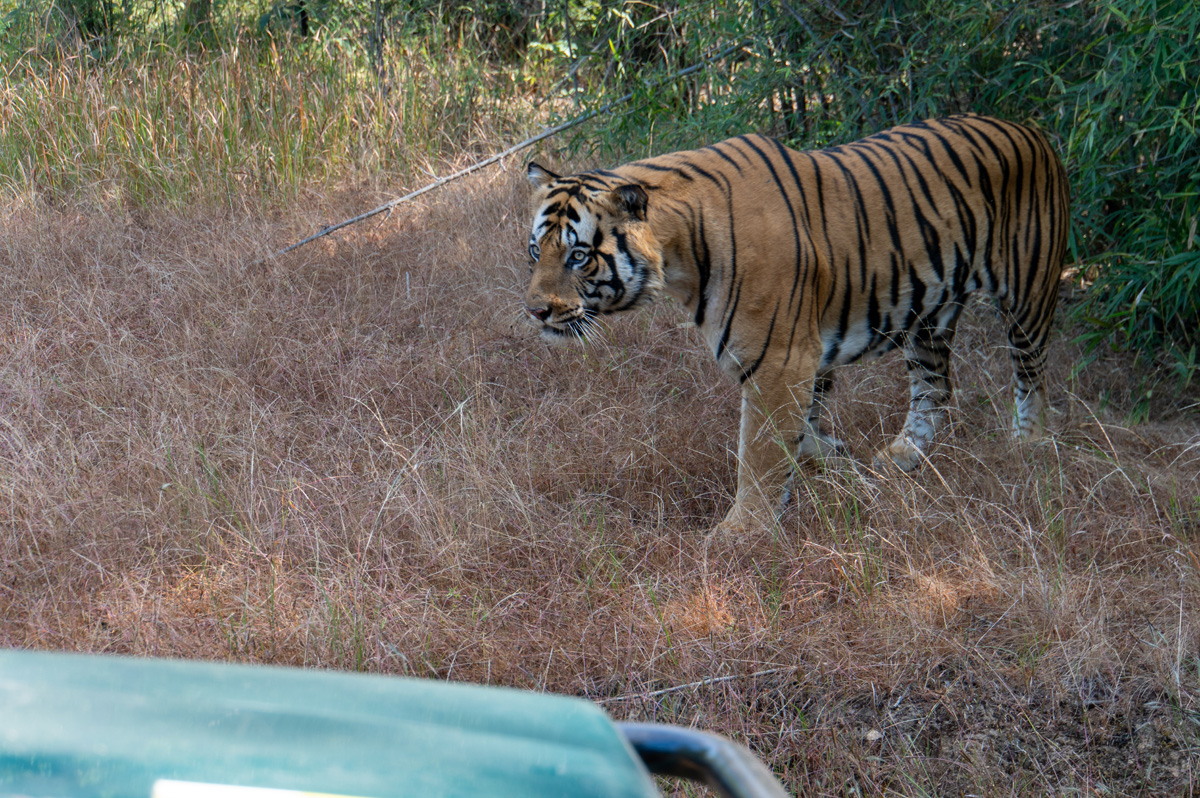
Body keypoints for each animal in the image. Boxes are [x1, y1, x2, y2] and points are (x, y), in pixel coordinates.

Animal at [522, 114, 1070, 534]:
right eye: (535, 251)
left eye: (577, 256)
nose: (535, 311)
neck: (679, 256)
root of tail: (1032, 128)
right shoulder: (807, 354)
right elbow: (802, 432)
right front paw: (837, 462)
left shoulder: (779, 361)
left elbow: (759, 452)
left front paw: (739, 537)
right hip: (929, 319)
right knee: (935, 390)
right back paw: (902, 456)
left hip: (1029, 292)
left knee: (1032, 375)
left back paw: (1030, 448)